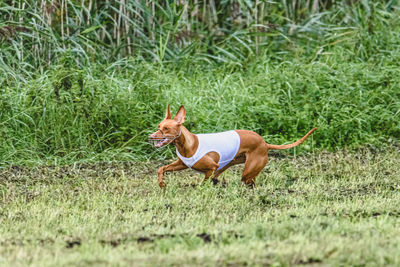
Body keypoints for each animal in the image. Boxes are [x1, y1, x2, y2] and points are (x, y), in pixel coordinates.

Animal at [148, 104, 318, 188]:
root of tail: (264, 143)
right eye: (158, 126)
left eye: (166, 128)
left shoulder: (212, 167)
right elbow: (161, 168)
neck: (189, 145)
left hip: (248, 171)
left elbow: (205, 182)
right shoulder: (182, 164)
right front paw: (161, 183)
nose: (150, 136)